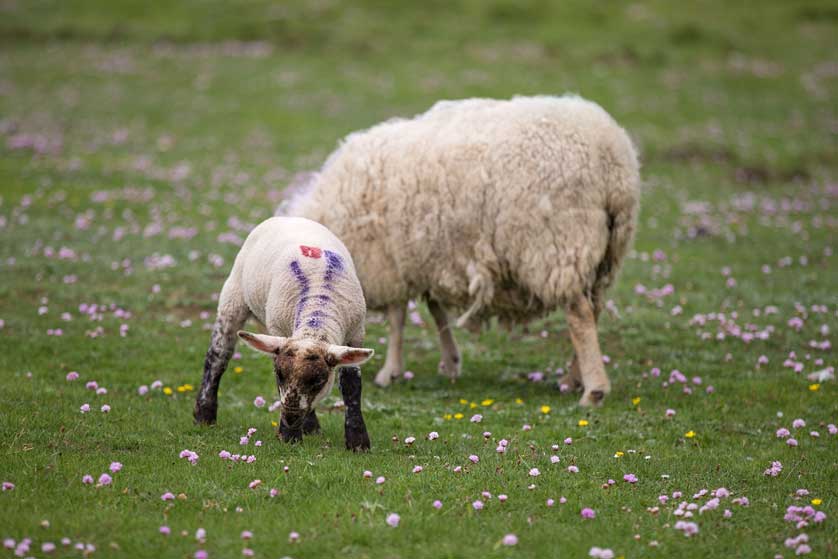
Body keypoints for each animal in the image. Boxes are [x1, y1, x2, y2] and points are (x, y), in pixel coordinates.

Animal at [193, 216, 375, 450]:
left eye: (318, 380)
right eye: (279, 375)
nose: (290, 418)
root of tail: (288, 217)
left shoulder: (356, 333)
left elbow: (352, 386)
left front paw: (357, 442)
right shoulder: (278, 330)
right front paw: (289, 436)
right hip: (233, 297)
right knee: (217, 356)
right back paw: (204, 415)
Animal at [284, 95, 640, 406]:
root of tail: (612, 160)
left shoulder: (388, 260)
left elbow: (398, 319)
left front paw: (390, 371)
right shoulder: (424, 257)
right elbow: (435, 308)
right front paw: (450, 360)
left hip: (558, 244)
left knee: (579, 316)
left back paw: (593, 390)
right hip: (603, 254)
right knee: (593, 310)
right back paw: (573, 378)